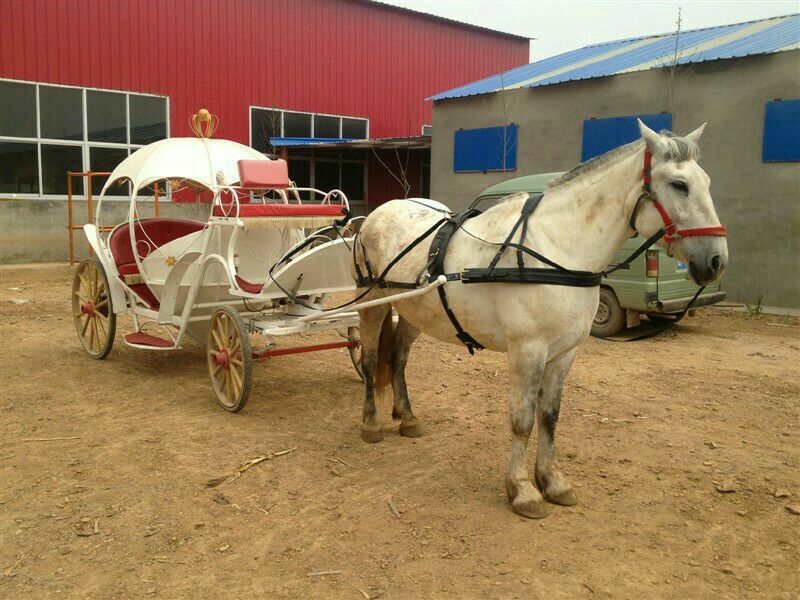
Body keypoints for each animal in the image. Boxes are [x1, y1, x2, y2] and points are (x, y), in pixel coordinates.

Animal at [352, 120, 728, 519]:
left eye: (706, 182)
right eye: (679, 184)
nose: (717, 260)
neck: (557, 248)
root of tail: (376, 215)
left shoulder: (564, 353)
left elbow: (549, 416)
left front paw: (551, 481)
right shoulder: (527, 349)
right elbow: (522, 420)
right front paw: (521, 489)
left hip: (413, 310)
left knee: (398, 360)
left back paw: (407, 417)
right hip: (373, 303)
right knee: (371, 359)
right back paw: (371, 423)